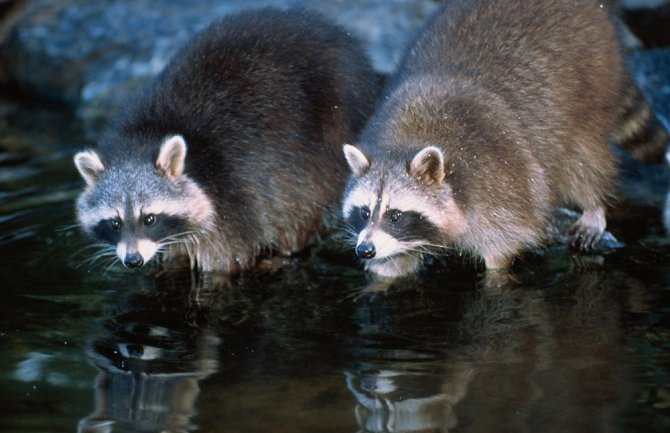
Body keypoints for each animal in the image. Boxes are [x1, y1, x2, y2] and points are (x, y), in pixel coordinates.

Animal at [75, 7, 378, 274]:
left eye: (149, 218)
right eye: (114, 222)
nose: (133, 260)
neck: (147, 133)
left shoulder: (229, 195)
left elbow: (226, 261)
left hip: (325, 139)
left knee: (300, 203)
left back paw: (288, 251)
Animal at [344, 0, 668, 276]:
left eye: (395, 215)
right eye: (364, 212)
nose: (364, 249)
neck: (406, 140)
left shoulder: (499, 181)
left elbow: (505, 243)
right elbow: (392, 264)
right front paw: (381, 278)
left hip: (591, 83)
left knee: (583, 159)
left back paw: (593, 204)